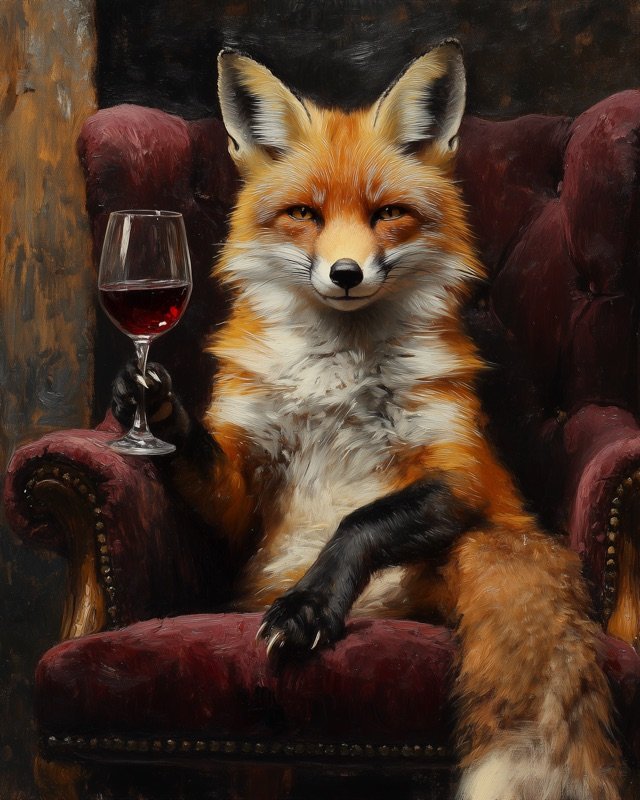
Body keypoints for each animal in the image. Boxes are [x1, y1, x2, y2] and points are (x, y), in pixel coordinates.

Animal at [112, 41, 623, 800]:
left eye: (388, 214)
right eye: (304, 213)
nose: (346, 274)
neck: (338, 372)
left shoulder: (465, 475)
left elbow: (359, 522)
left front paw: (307, 606)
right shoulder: (245, 489)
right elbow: (207, 463)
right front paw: (149, 405)